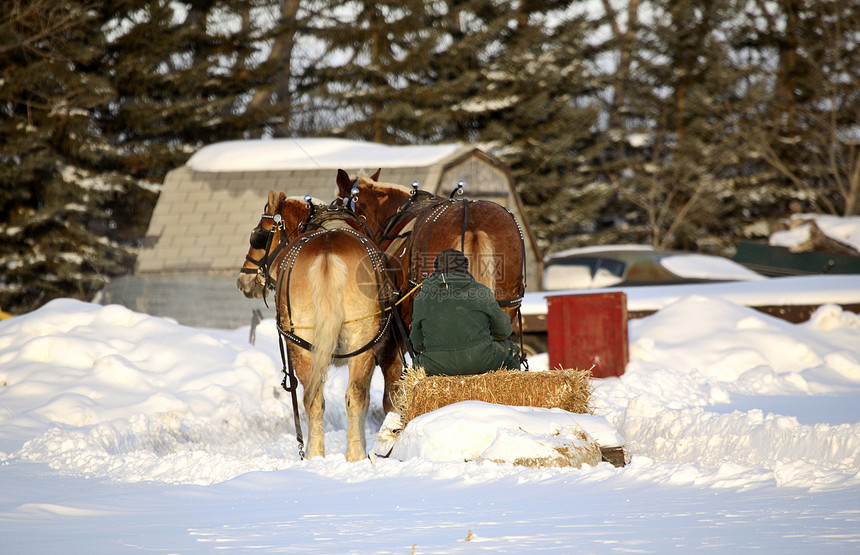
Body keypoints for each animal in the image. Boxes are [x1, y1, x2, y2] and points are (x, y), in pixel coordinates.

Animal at [237, 191, 402, 460]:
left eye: (258, 235)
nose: (243, 280)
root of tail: (327, 253)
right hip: (359, 343)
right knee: (351, 396)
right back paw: (351, 454)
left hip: (303, 345)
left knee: (317, 398)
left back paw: (316, 453)